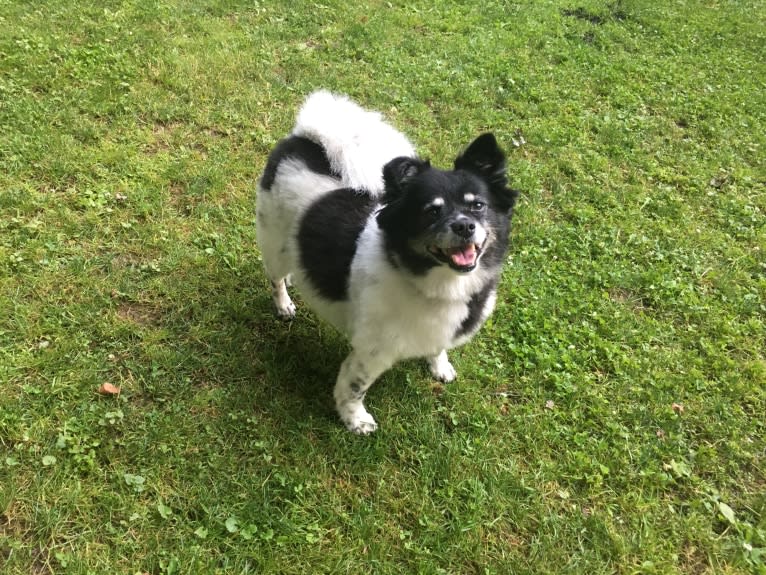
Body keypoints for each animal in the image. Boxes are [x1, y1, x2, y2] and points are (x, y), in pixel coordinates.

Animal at [258, 90, 520, 434]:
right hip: (273, 242)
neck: (434, 284)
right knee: (275, 277)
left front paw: (439, 365)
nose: (464, 226)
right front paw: (355, 420)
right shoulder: (371, 351)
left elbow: (437, 346)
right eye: (430, 211)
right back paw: (283, 303)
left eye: (478, 205)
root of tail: (304, 138)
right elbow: (353, 387)